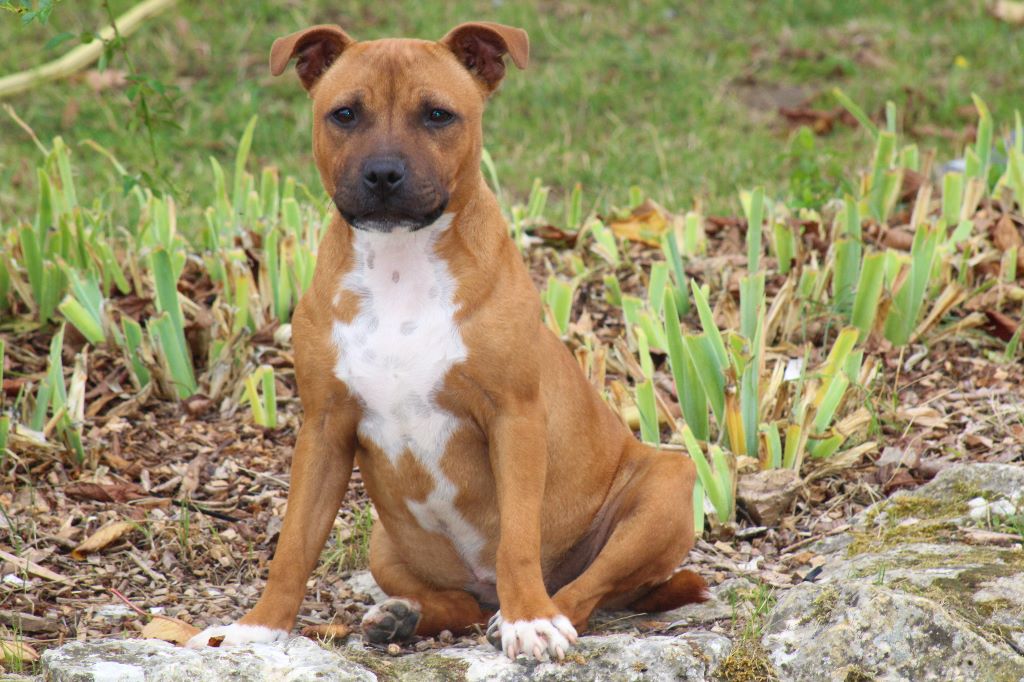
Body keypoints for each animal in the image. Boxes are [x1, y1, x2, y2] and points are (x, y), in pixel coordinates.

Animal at [186, 21, 704, 659]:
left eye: (438, 115)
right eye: (344, 114)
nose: (383, 173)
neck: (401, 263)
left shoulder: (515, 418)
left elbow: (517, 538)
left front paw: (529, 620)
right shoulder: (324, 428)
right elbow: (294, 545)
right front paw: (259, 627)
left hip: (666, 489)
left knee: (587, 590)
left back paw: (532, 613)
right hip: (386, 542)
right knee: (457, 604)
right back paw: (402, 617)